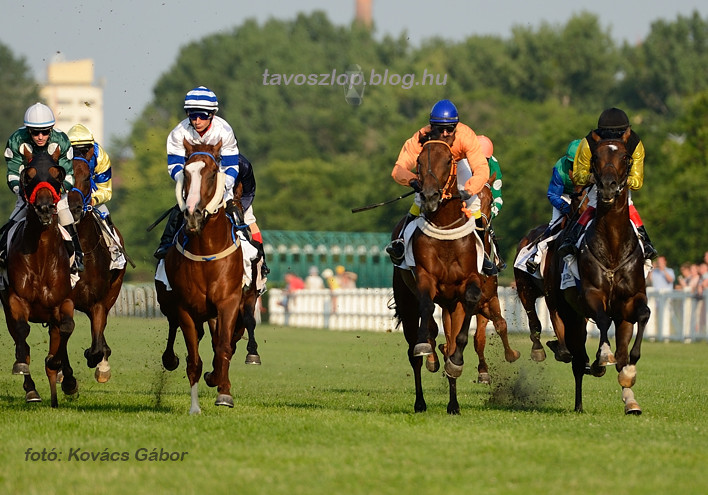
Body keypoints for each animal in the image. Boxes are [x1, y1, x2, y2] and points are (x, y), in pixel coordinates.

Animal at [0, 146, 77, 406]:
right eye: (29, 174)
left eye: (57, 173)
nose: (44, 208)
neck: (41, 256)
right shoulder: (15, 300)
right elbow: (22, 333)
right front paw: (22, 367)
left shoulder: (63, 302)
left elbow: (66, 328)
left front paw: (56, 365)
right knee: (19, 337)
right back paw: (32, 389)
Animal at [156, 140, 245, 414]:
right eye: (185, 173)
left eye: (213, 173)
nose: (193, 214)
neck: (207, 249)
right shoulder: (185, 308)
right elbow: (194, 359)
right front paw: (195, 407)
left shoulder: (228, 302)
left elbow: (223, 347)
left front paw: (224, 393)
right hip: (170, 303)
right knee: (173, 331)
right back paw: (170, 359)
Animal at [390, 135, 516, 414]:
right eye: (418, 161)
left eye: (490, 200)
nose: (429, 196)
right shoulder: (426, 282)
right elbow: (429, 320)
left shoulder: (478, 296)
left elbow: (478, 334)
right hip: (407, 302)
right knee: (415, 350)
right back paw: (421, 398)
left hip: (453, 305)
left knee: (449, 341)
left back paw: (452, 397)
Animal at [544, 131, 648, 414]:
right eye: (595, 157)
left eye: (625, 157)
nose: (609, 186)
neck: (612, 246)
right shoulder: (591, 295)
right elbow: (601, 321)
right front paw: (602, 357)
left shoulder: (632, 299)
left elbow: (643, 317)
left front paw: (630, 372)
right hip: (568, 312)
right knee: (577, 359)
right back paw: (580, 400)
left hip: (615, 317)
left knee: (617, 351)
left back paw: (630, 400)